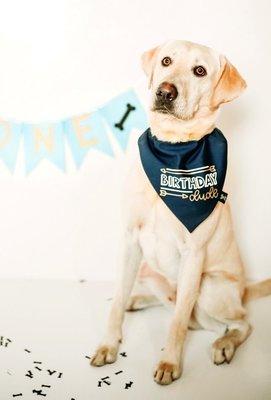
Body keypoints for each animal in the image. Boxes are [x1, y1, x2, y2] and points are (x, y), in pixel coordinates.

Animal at [92, 39, 271, 384]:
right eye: (166, 61)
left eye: (199, 70)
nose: (165, 91)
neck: (173, 151)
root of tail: (243, 291)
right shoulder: (130, 240)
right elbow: (116, 299)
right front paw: (108, 344)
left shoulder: (193, 253)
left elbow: (176, 323)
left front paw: (169, 363)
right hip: (149, 270)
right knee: (172, 307)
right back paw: (138, 299)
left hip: (210, 288)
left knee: (236, 322)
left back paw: (224, 344)